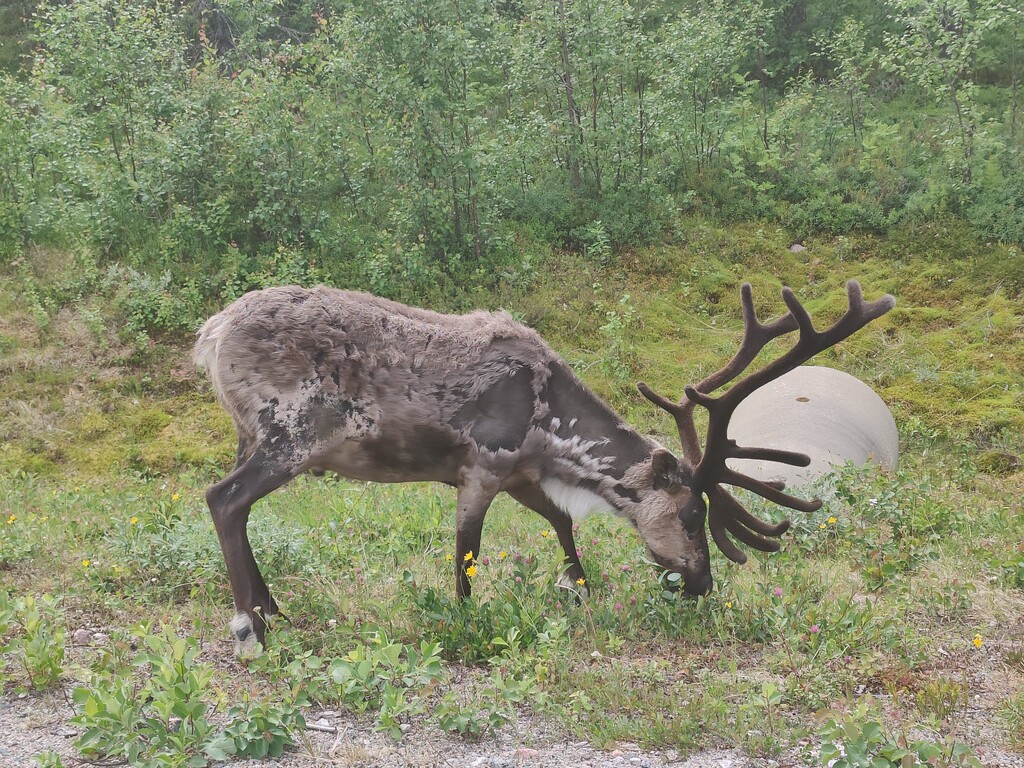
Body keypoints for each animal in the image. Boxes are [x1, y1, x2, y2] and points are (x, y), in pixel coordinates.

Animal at [194, 280, 894, 653]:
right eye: (693, 514)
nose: (702, 583)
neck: (551, 429)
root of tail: (213, 331)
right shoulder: (483, 467)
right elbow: (467, 555)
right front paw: (467, 623)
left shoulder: (524, 476)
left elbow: (564, 524)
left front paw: (577, 588)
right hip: (292, 434)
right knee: (223, 499)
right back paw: (250, 628)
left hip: (251, 435)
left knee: (239, 509)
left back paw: (272, 608)